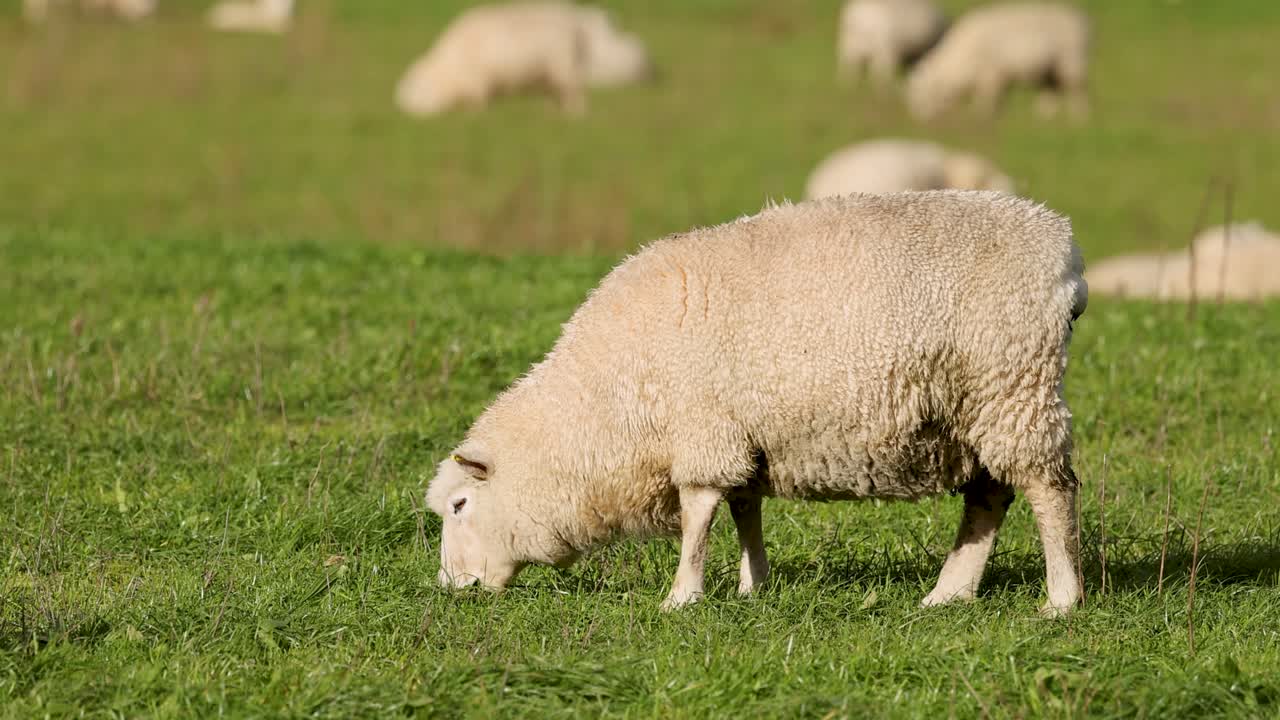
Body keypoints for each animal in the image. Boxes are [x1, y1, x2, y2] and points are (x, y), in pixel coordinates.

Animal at [427, 191, 1088, 617]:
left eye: (460, 505)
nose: (449, 586)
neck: (609, 405)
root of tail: (1064, 253)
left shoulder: (701, 431)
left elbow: (698, 515)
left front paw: (682, 597)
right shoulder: (742, 433)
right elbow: (745, 507)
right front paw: (754, 585)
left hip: (1014, 383)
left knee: (1049, 490)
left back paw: (1061, 600)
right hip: (974, 405)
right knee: (989, 496)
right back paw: (949, 594)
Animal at [906, 2, 1090, 120]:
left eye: (921, 92)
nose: (919, 119)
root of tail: (1083, 20)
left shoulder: (991, 74)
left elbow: (987, 99)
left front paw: (981, 116)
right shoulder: (999, 77)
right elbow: (999, 100)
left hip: (1072, 59)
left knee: (1077, 89)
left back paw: (1079, 118)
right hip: (1051, 68)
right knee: (1051, 90)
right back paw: (1044, 117)